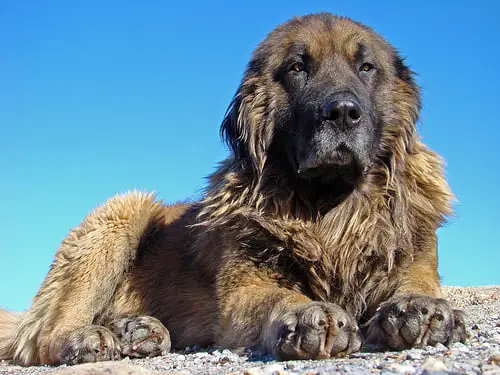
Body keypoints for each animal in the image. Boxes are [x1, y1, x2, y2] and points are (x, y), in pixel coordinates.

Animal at [0, 14, 468, 368]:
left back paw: (137, 330)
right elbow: (278, 296)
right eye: (298, 67)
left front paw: (419, 308)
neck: (330, 206)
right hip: (126, 210)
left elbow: (418, 284)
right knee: (42, 336)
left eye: (366, 67)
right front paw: (308, 314)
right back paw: (89, 339)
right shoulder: (244, 288)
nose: (341, 112)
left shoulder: (413, 257)